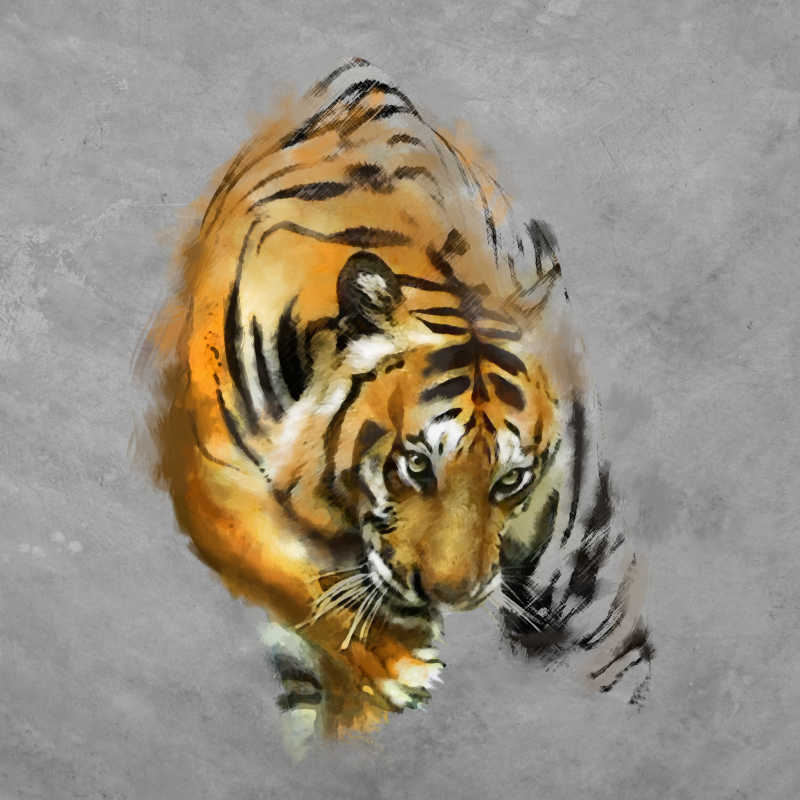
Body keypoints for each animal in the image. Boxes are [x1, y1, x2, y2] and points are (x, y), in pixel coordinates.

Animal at [137, 58, 653, 753]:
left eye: (510, 480)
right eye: (415, 464)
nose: (454, 596)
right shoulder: (214, 478)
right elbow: (296, 581)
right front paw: (395, 662)